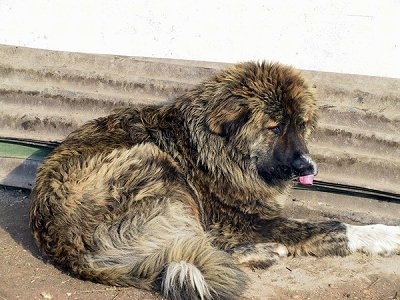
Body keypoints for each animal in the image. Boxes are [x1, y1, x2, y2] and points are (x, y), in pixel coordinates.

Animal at [29, 61, 398, 300]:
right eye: (276, 127)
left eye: (302, 125)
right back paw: (264, 251)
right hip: (157, 165)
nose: (309, 167)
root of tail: (62, 245)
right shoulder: (240, 221)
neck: (219, 149)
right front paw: (383, 235)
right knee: (196, 247)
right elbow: (331, 226)